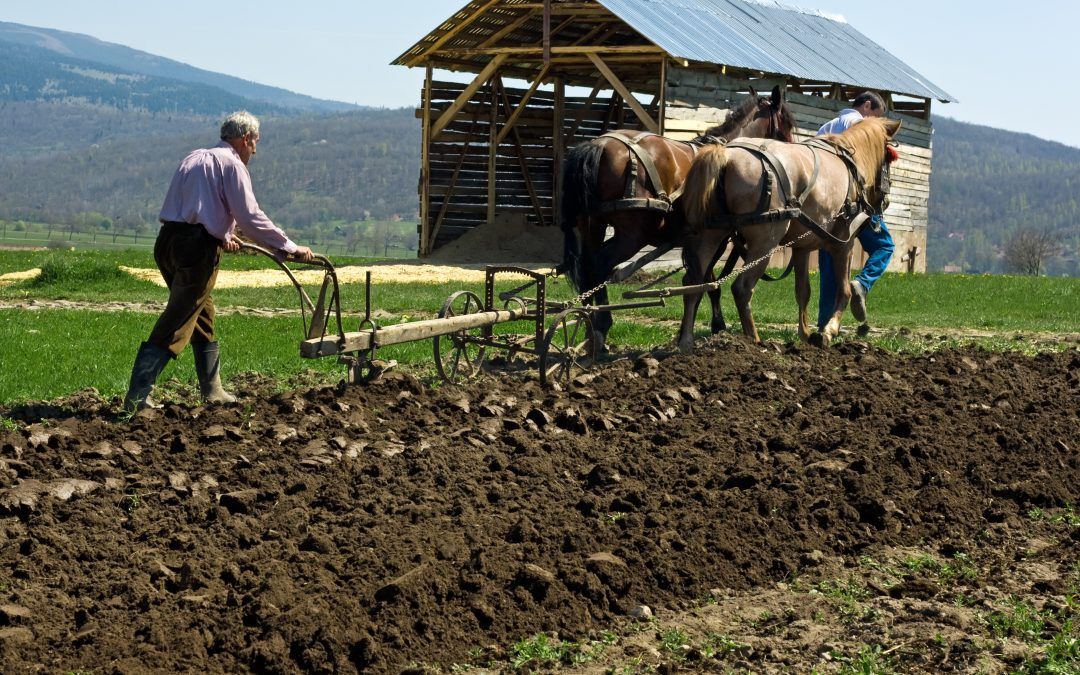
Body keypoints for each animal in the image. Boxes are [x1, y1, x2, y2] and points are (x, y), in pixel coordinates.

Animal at [561, 85, 799, 341]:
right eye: (787, 124)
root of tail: (600, 145)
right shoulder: (715, 237)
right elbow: (705, 282)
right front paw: (716, 326)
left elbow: (704, 281)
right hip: (632, 236)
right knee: (601, 265)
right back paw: (601, 326)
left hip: (592, 226)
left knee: (588, 271)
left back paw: (589, 327)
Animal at [678, 115, 898, 349]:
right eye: (888, 159)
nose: (885, 200)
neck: (850, 163)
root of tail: (727, 155)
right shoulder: (844, 243)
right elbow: (844, 289)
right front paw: (828, 331)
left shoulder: (802, 248)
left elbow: (803, 291)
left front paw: (805, 334)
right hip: (765, 243)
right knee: (742, 288)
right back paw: (754, 340)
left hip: (710, 236)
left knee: (693, 284)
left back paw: (685, 341)